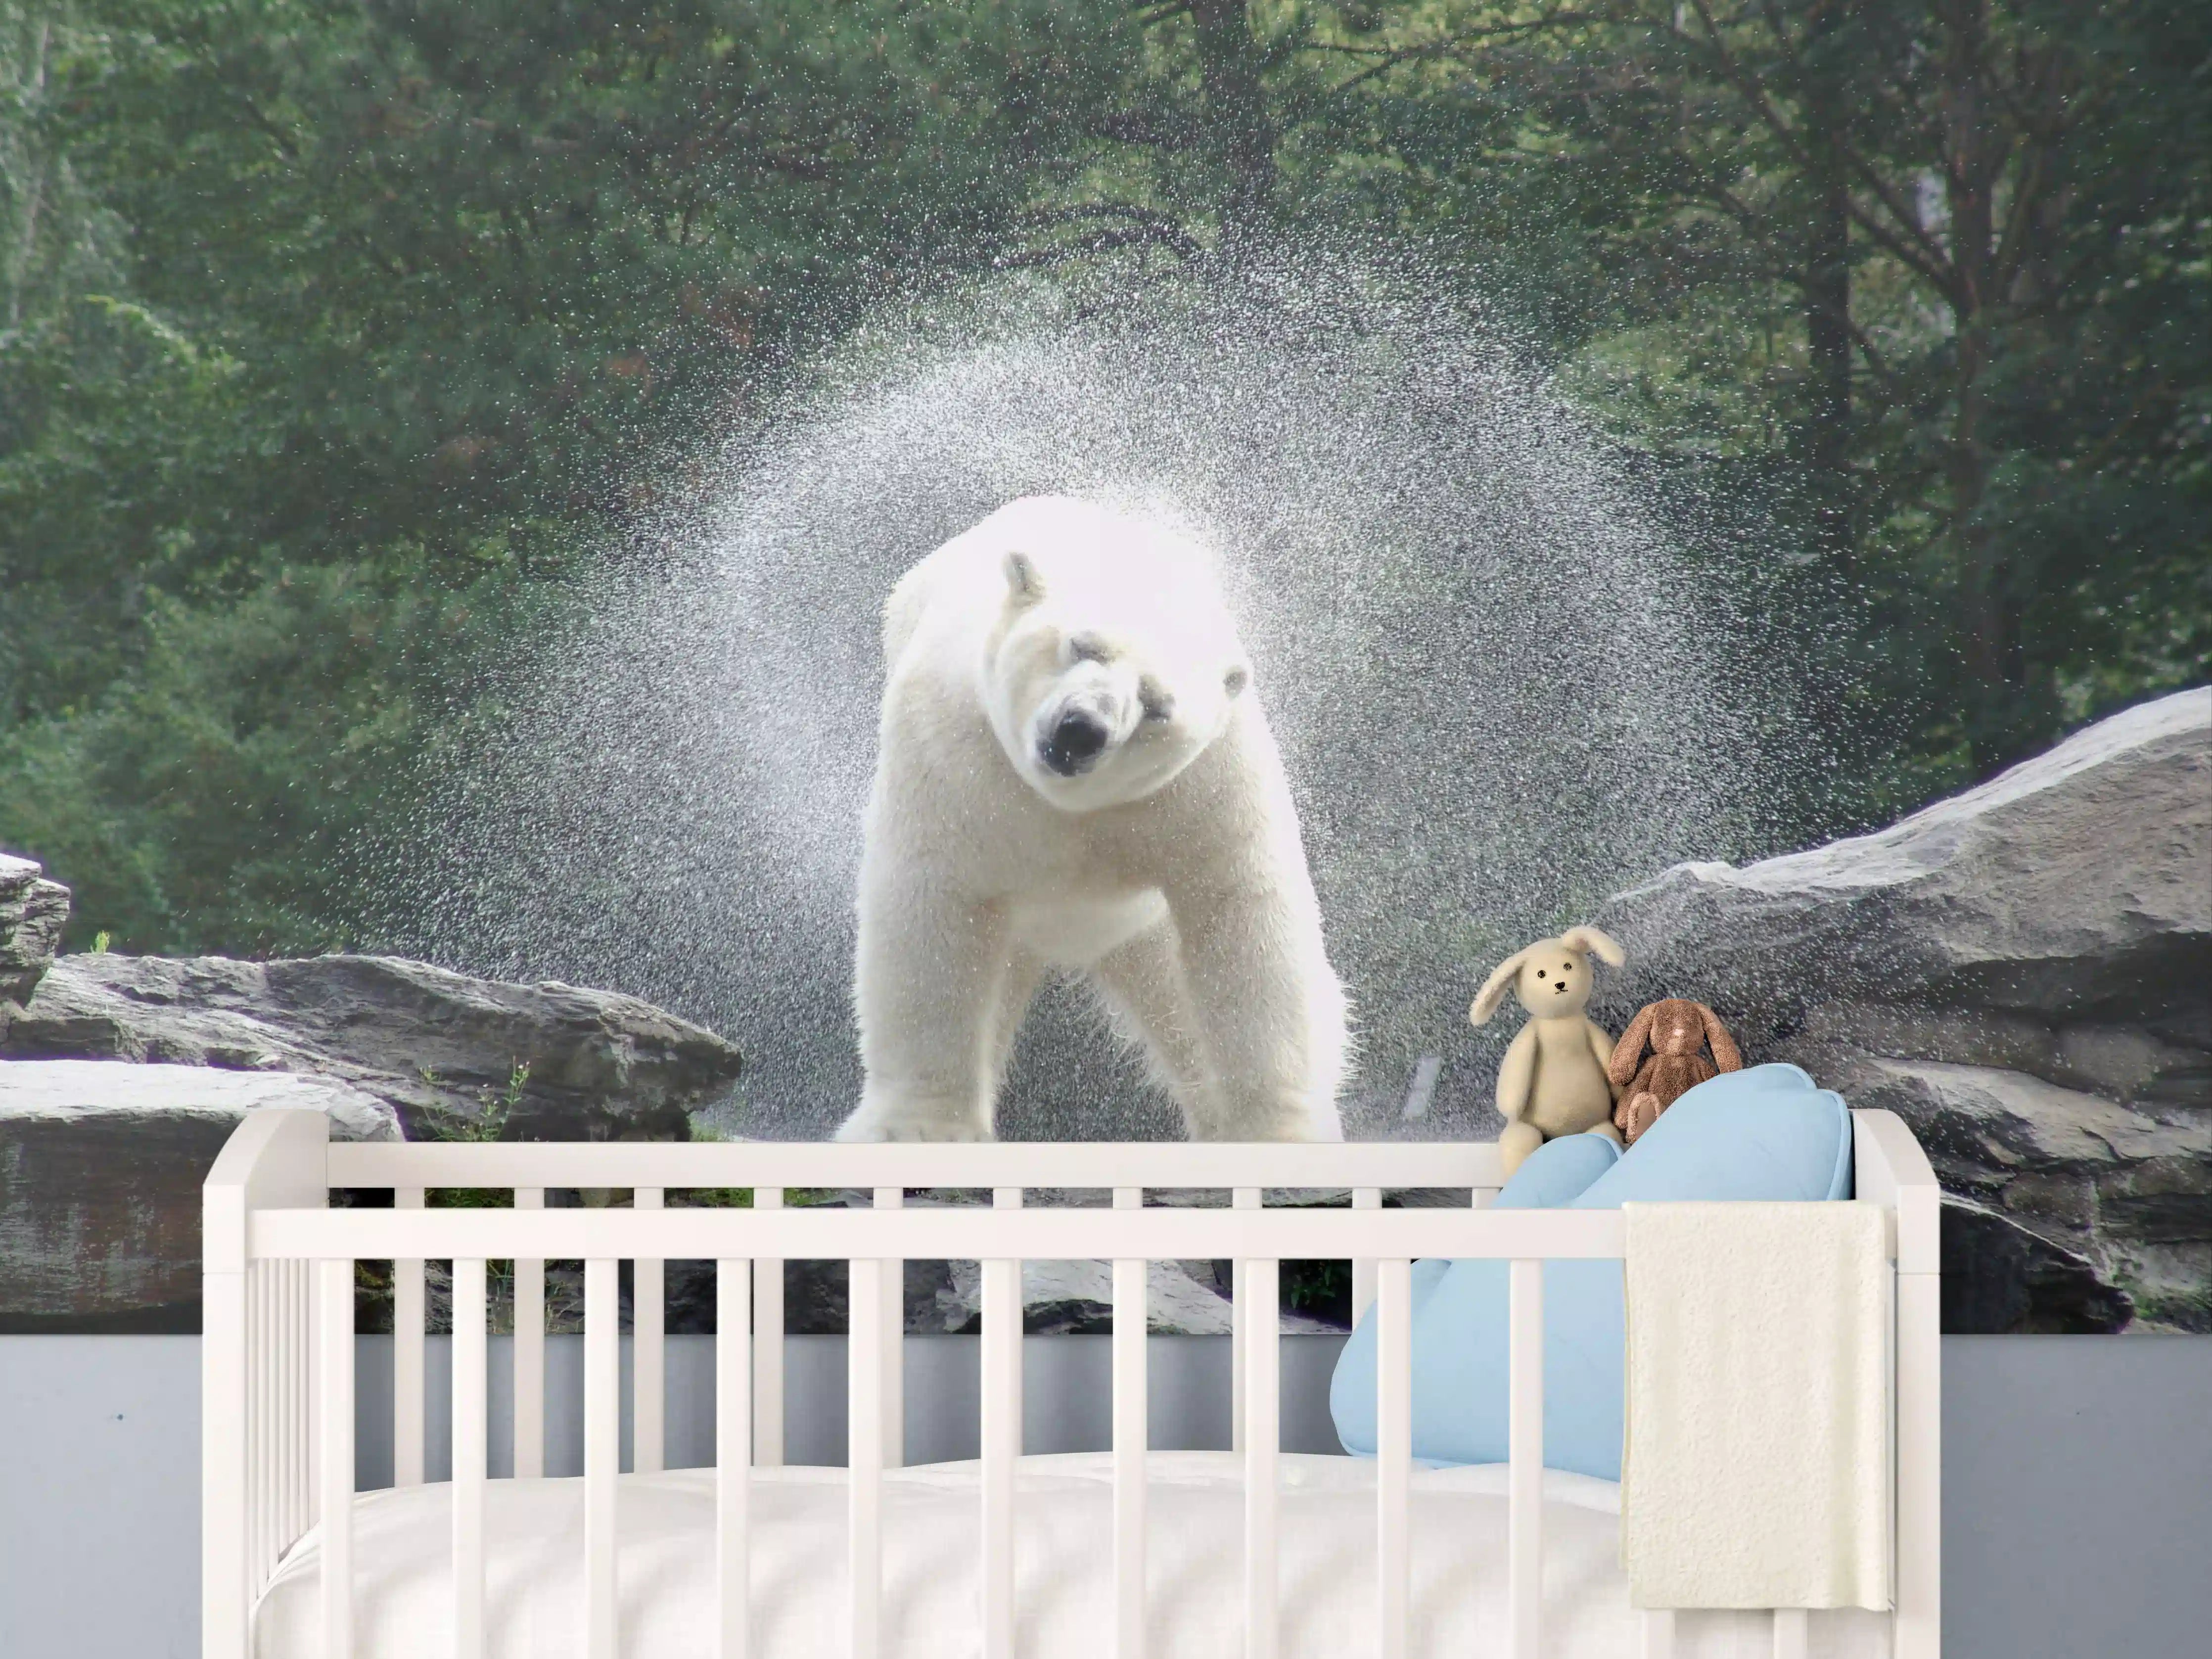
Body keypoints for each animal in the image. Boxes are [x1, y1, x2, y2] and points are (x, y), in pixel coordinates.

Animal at [834, 495, 1349, 1143]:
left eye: (1156, 706)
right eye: (1082, 646)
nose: (1082, 730)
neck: (1066, 807)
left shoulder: (1204, 786)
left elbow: (1241, 915)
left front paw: (1278, 1133)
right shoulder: (952, 749)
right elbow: (934, 909)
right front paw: (918, 1128)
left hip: (1140, 931)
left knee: (1180, 1004)